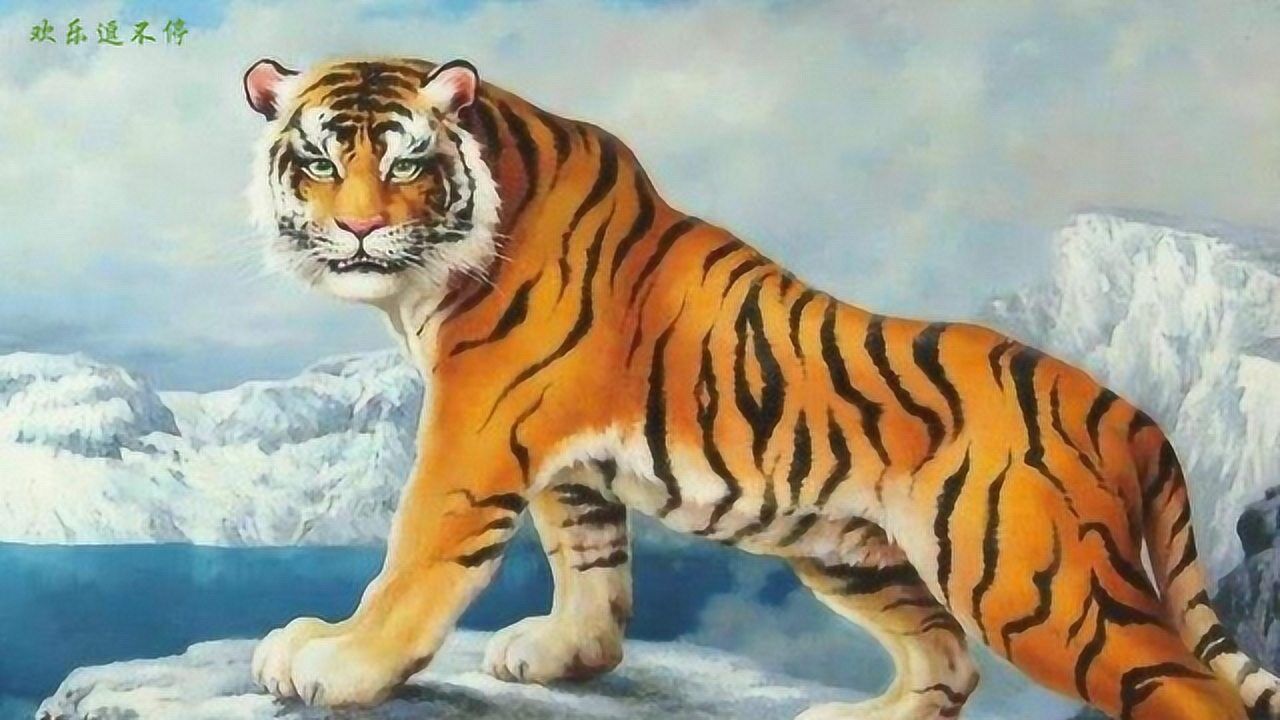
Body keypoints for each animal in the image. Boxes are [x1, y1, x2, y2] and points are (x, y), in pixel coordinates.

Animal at [241, 55, 1280, 720]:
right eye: (321, 160)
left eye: (408, 159)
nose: (361, 230)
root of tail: (1127, 410)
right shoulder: (565, 461)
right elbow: (590, 559)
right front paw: (570, 654)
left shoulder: (476, 430)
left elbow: (418, 554)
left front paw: (338, 660)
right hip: (858, 555)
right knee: (947, 662)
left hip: (1040, 588)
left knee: (1191, 693)